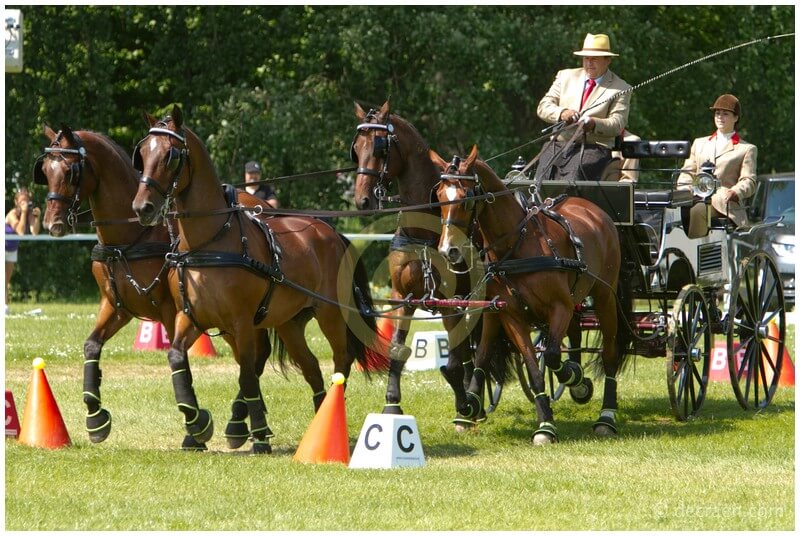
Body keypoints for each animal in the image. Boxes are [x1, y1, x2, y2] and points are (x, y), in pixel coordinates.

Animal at [131, 104, 378, 454]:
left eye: (171, 155)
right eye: (141, 153)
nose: (143, 207)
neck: (209, 243)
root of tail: (330, 233)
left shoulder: (242, 322)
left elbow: (247, 373)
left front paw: (258, 435)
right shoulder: (190, 318)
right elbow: (177, 357)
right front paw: (197, 426)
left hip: (330, 313)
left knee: (340, 363)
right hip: (289, 323)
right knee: (312, 368)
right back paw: (319, 422)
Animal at [350, 100, 501, 427]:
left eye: (379, 147)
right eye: (356, 148)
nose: (362, 200)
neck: (424, 232)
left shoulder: (451, 300)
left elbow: (455, 358)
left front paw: (464, 404)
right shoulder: (402, 296)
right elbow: (397, 348)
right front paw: (392, 403)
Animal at [430, 145, 632, 443]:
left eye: (467, 198)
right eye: (440, 197)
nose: (448, 251)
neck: (517, 245)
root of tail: (593, 209)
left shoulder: (559, 307)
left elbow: (552, 356)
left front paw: (574, 381)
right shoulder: (511, 315)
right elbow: (534, 368)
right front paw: (546, 424)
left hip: (605, 297)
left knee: (609, 354)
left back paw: (606, 416)